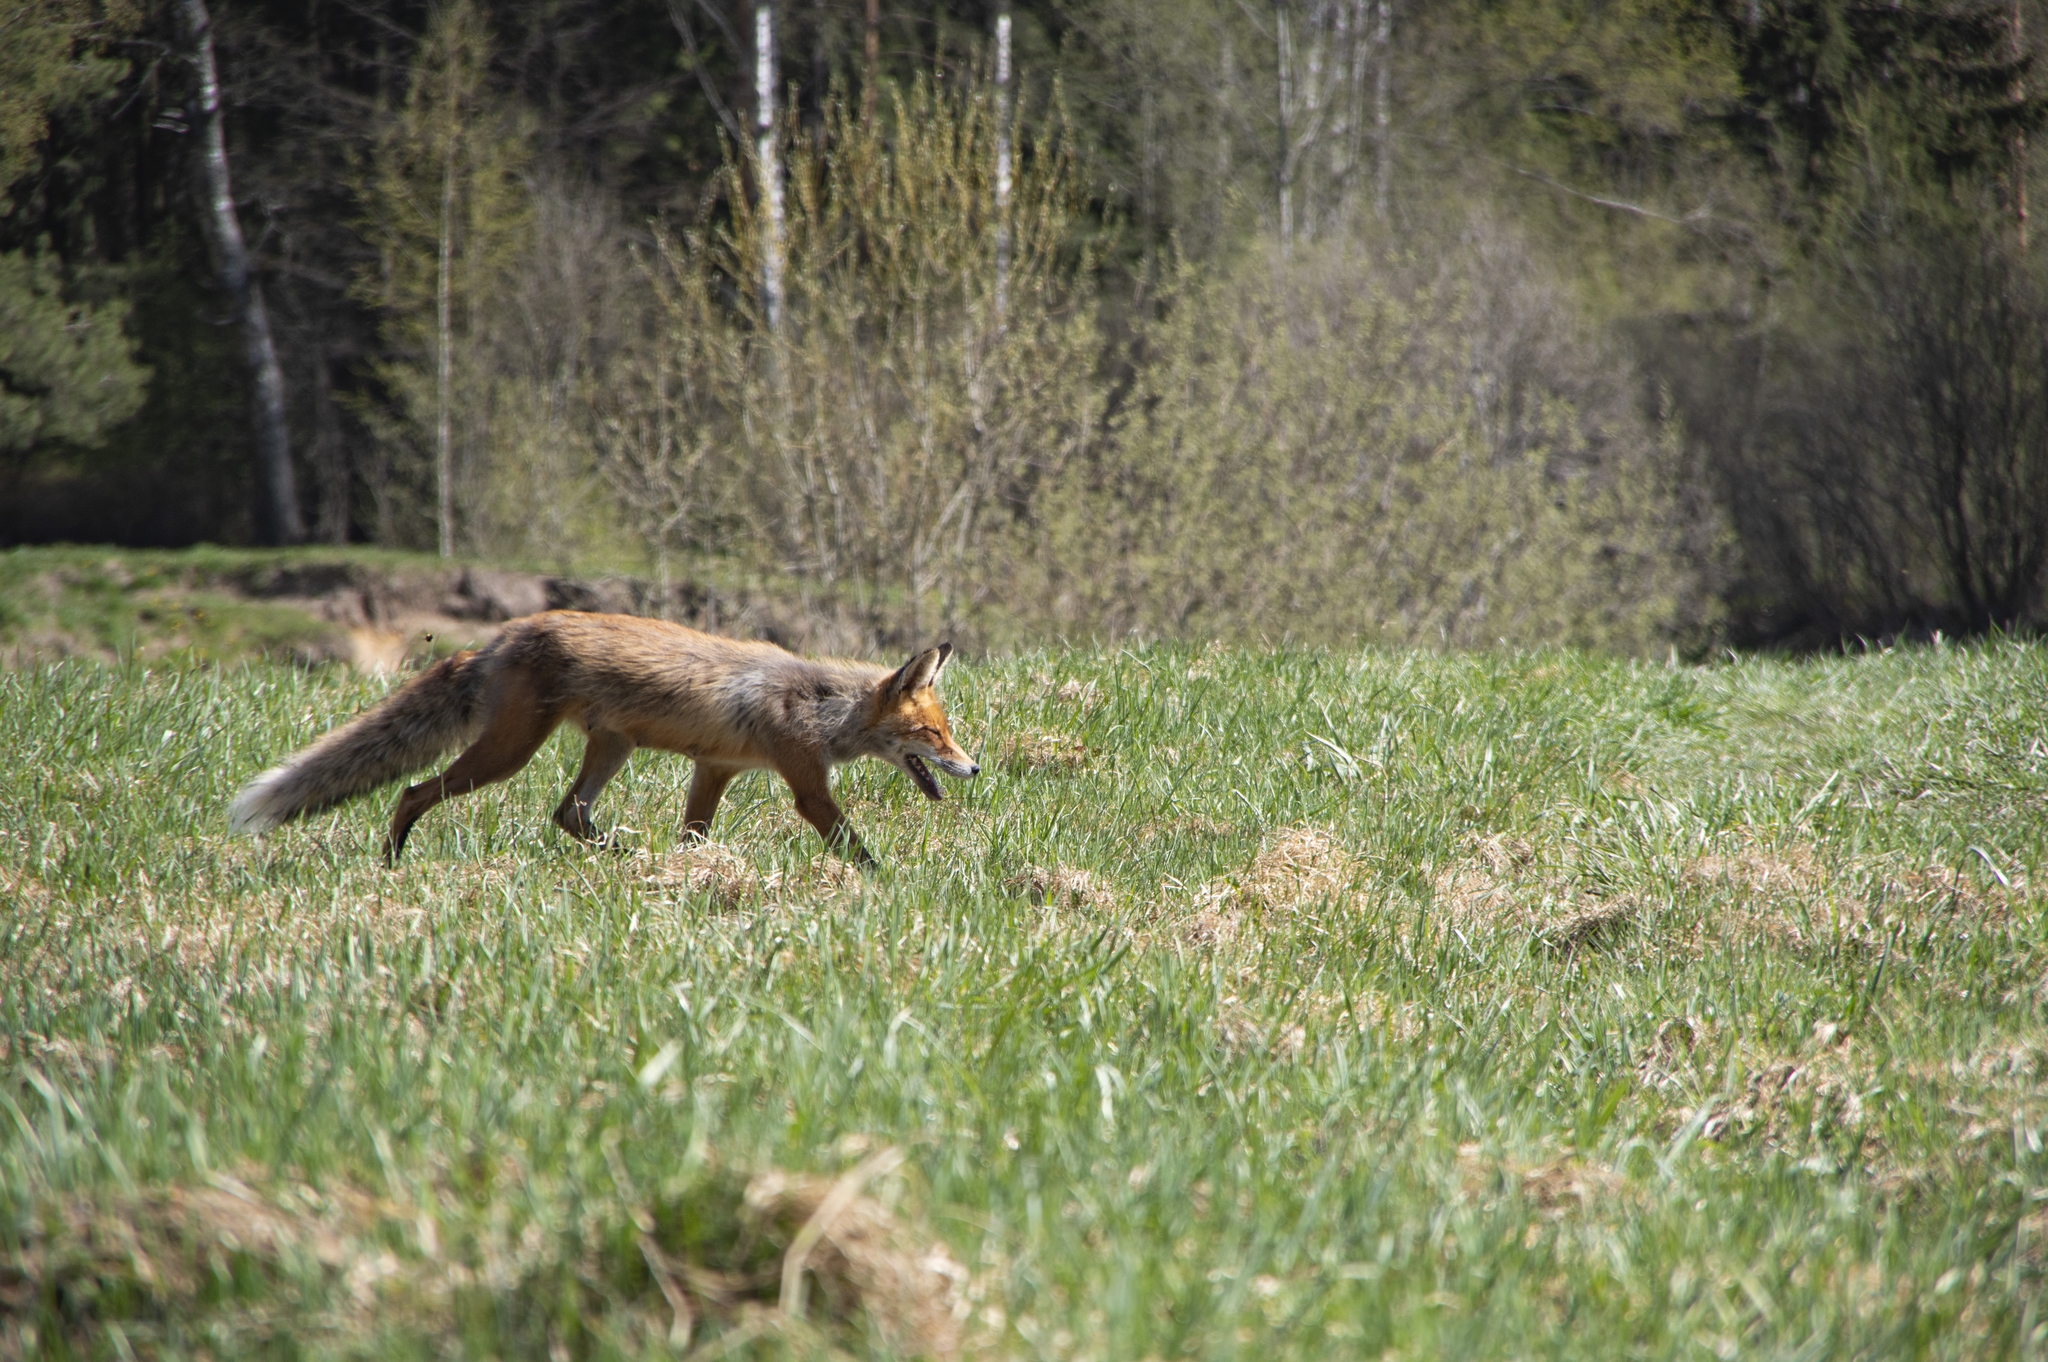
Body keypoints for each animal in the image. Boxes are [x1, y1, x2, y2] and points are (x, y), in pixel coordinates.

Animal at [228, 614, 978, 860]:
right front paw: (887, 885)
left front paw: (690, 876)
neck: (820, 706)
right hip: (510, 752)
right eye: (932, 734)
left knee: (568, 812)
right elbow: (854, 846)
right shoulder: (805, 785)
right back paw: (390, 862)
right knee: (413, 791)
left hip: (611, 747)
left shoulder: (715, 768)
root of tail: (499, 637)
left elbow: (694, 835)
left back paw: (619, 854)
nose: (973, 769)